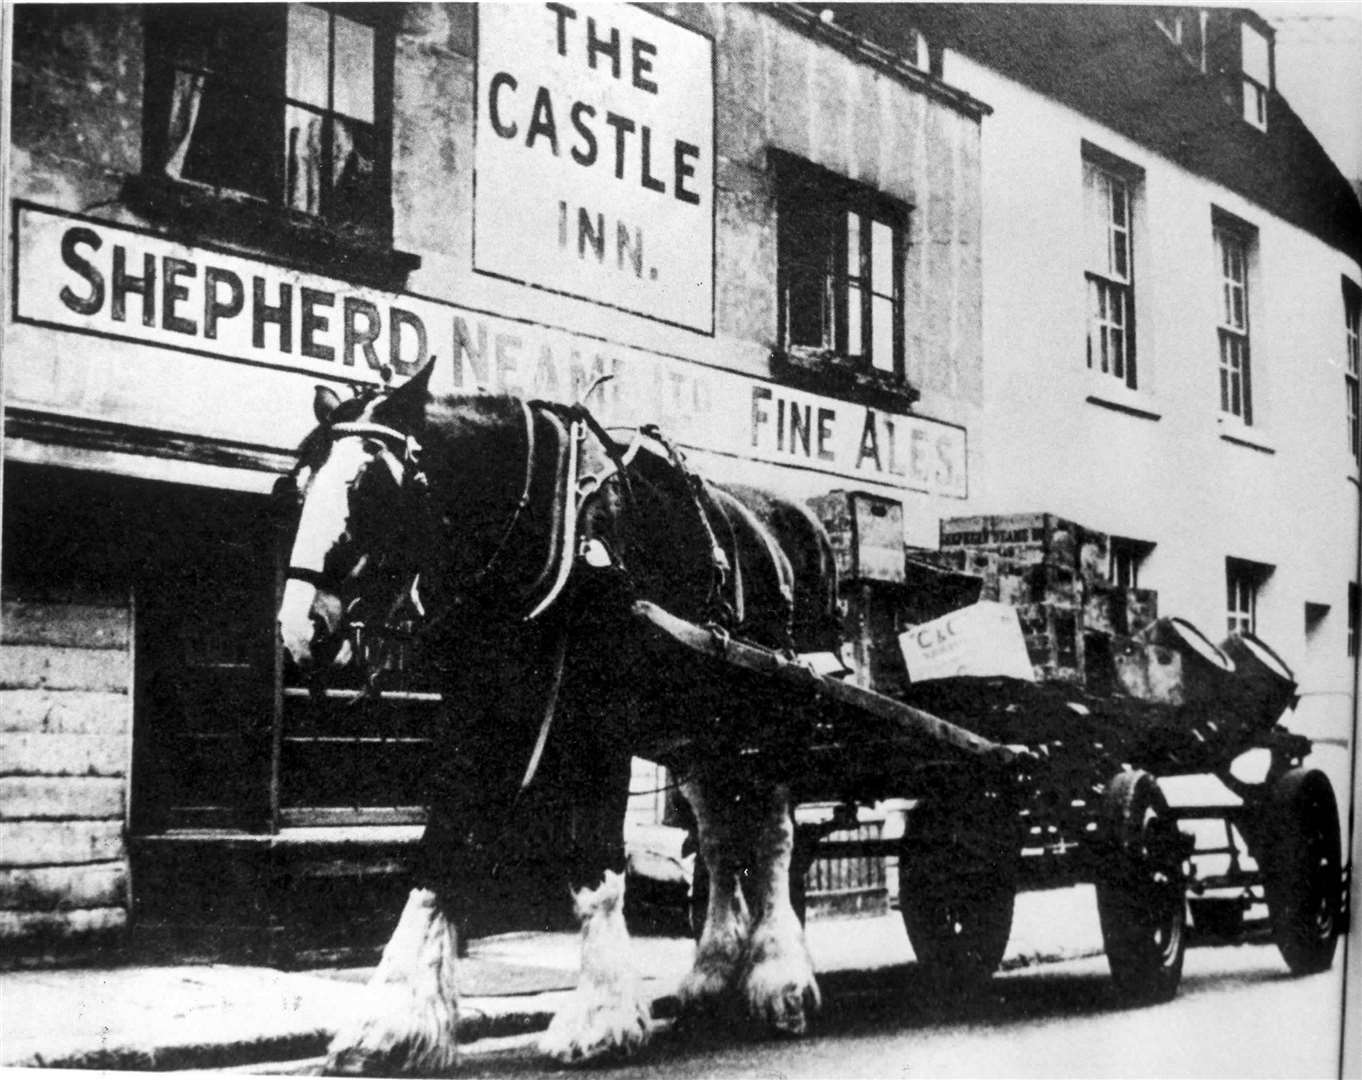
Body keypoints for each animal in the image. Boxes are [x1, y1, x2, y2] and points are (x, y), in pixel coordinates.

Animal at [279, 356, 838, 1067]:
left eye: (370, 487)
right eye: (298, 487)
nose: (299, 628)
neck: (549, 530)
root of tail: (802, 525)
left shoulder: (602, 728)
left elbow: (597, 867)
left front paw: (601, 1018)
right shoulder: (475, 719)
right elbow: (438, 855)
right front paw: (391, 1023)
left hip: (773, 729)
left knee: (772, 843)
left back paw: (780, 981)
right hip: (699, 740)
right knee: (718, 842)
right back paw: (711, 976)